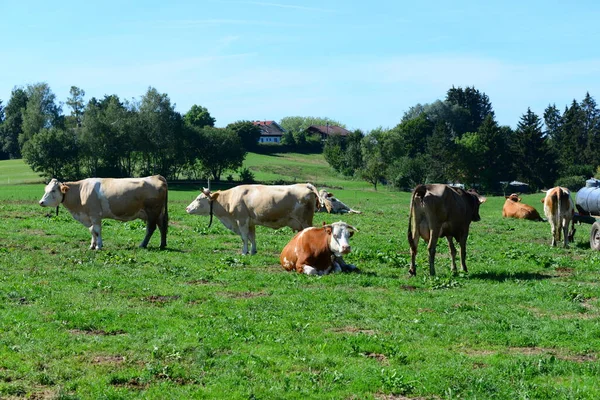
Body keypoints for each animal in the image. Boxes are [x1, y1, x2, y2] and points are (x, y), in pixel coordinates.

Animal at [38, 176, 169, 250]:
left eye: (53, 190)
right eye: (46, 189)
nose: (41, 202)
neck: (80, 192)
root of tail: (156, 176)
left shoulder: (95, 215)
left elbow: (97, 230)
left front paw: (98, 246)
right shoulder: (89, 216)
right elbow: (91, 230)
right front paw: (92, 245)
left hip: (152, 211)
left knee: (151, 228)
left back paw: (143, 245)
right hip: (158, 213)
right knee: (162, 227)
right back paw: (162, 245)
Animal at [185, 183, 322, 255]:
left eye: (199, 199)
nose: (187, 208)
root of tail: (305, 185)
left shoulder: (242, 220)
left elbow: (244, 237)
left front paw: (244, 252)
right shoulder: (250, 222)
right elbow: (252, 237)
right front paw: (253, 251)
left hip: (305, 221)